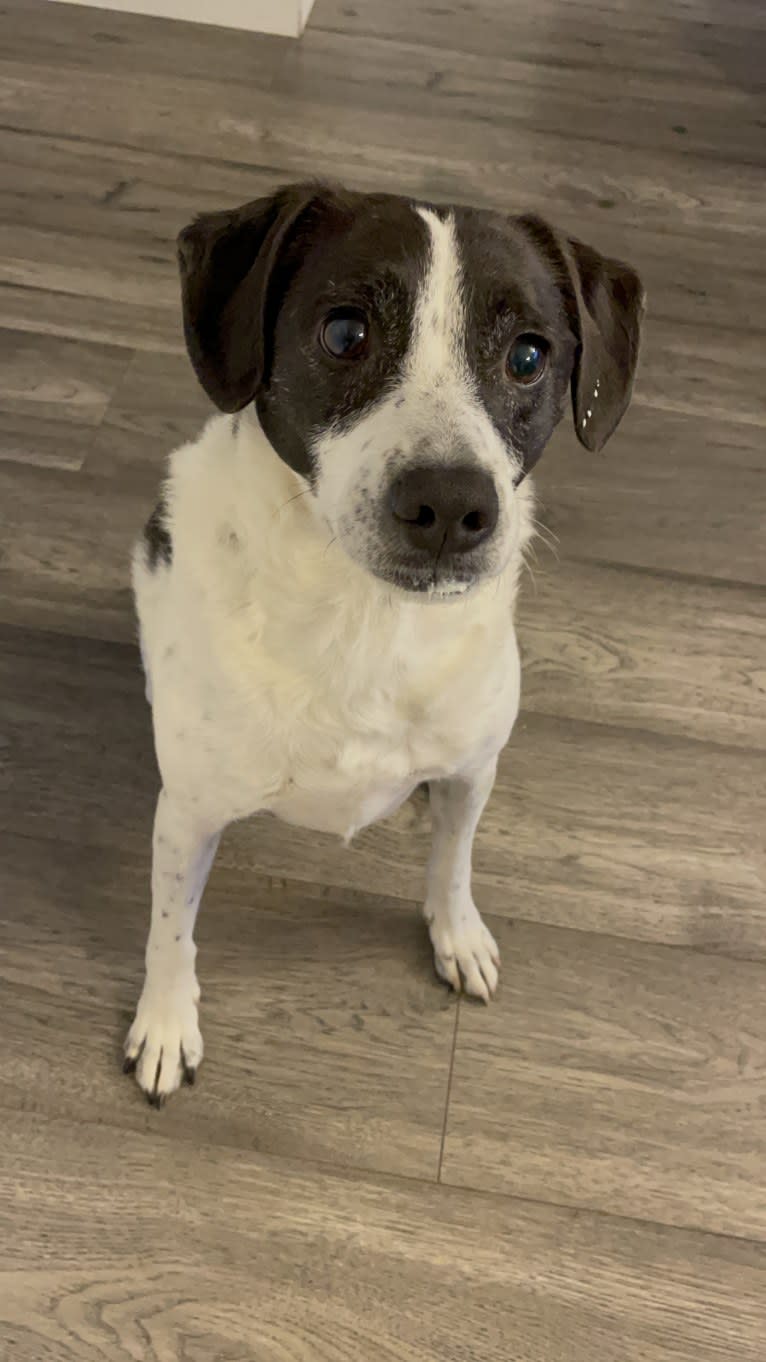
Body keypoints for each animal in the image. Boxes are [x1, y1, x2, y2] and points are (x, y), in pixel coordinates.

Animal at [121, 183, 640, 1105]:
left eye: (529, 356)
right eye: (344, 333)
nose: (451, 505)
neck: (366, 623)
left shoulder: (474, 770)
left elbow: (453, 862)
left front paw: (457, 935)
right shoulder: (188, 813)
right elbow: (170, 927)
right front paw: (167, 1021)